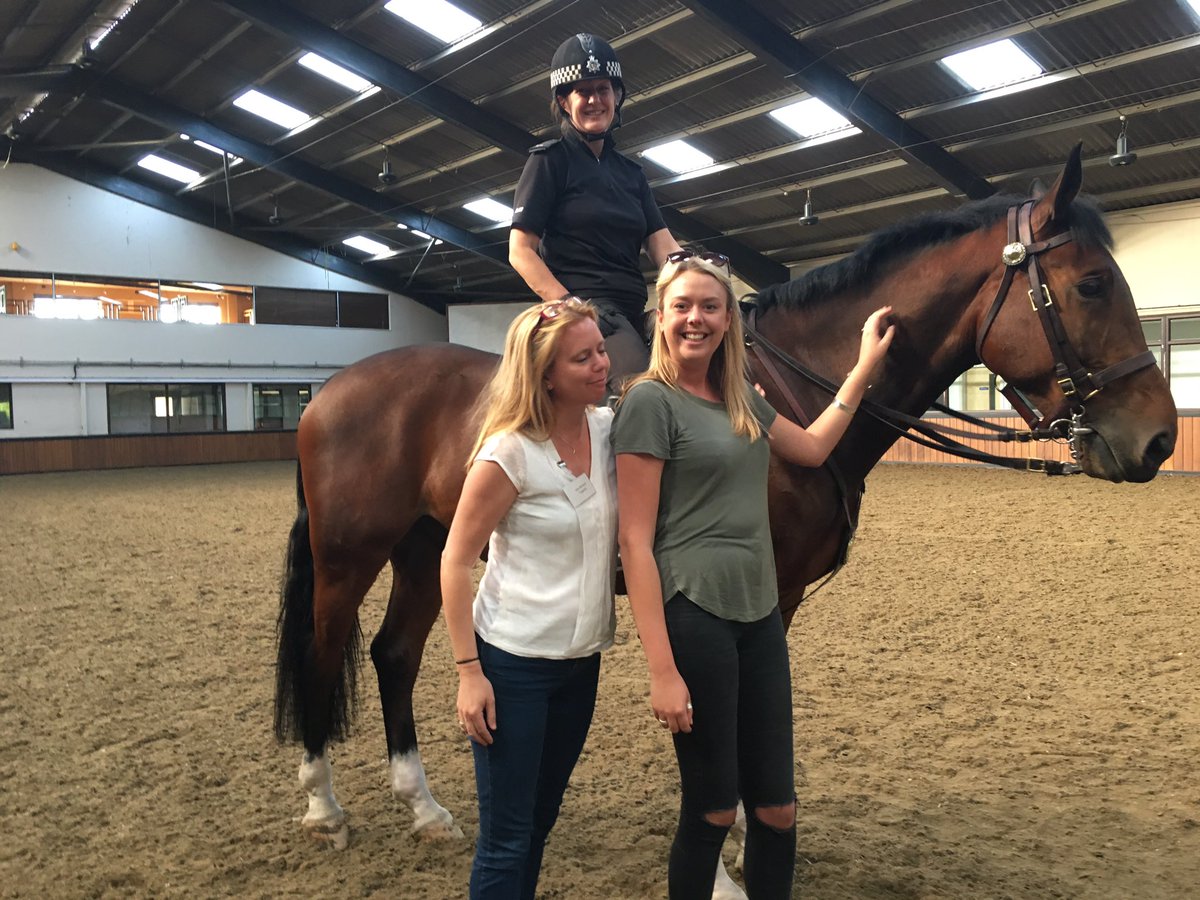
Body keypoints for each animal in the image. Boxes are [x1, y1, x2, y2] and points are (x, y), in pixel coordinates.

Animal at [272, 146, 1176, 889]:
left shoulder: (776, 595)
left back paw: (423, 809)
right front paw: (730, 845)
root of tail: (333, 391)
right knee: (323, 650)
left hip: (429, 549)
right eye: (1092, 284)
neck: (778, 393)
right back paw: (322, 808)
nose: (1161, 437)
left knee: (393, 655)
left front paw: (743, 829)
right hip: (351, 553)